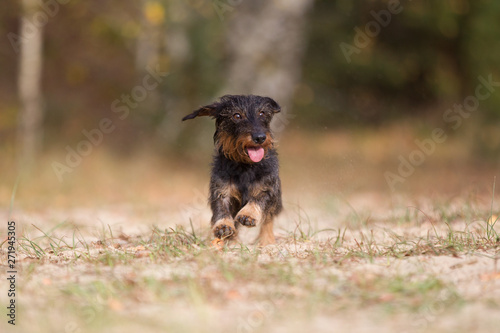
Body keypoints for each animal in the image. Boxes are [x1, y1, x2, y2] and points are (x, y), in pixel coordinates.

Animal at [183, 93, 286, 244]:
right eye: (236, 115)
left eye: (262, 113)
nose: (260, 137)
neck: (246, 166)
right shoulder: (221, 190)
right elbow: (221, 208)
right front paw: (223, 226)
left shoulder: (269, 188)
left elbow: (259, 199)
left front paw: (248, 214)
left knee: (268, 220)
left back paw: (266, 240)